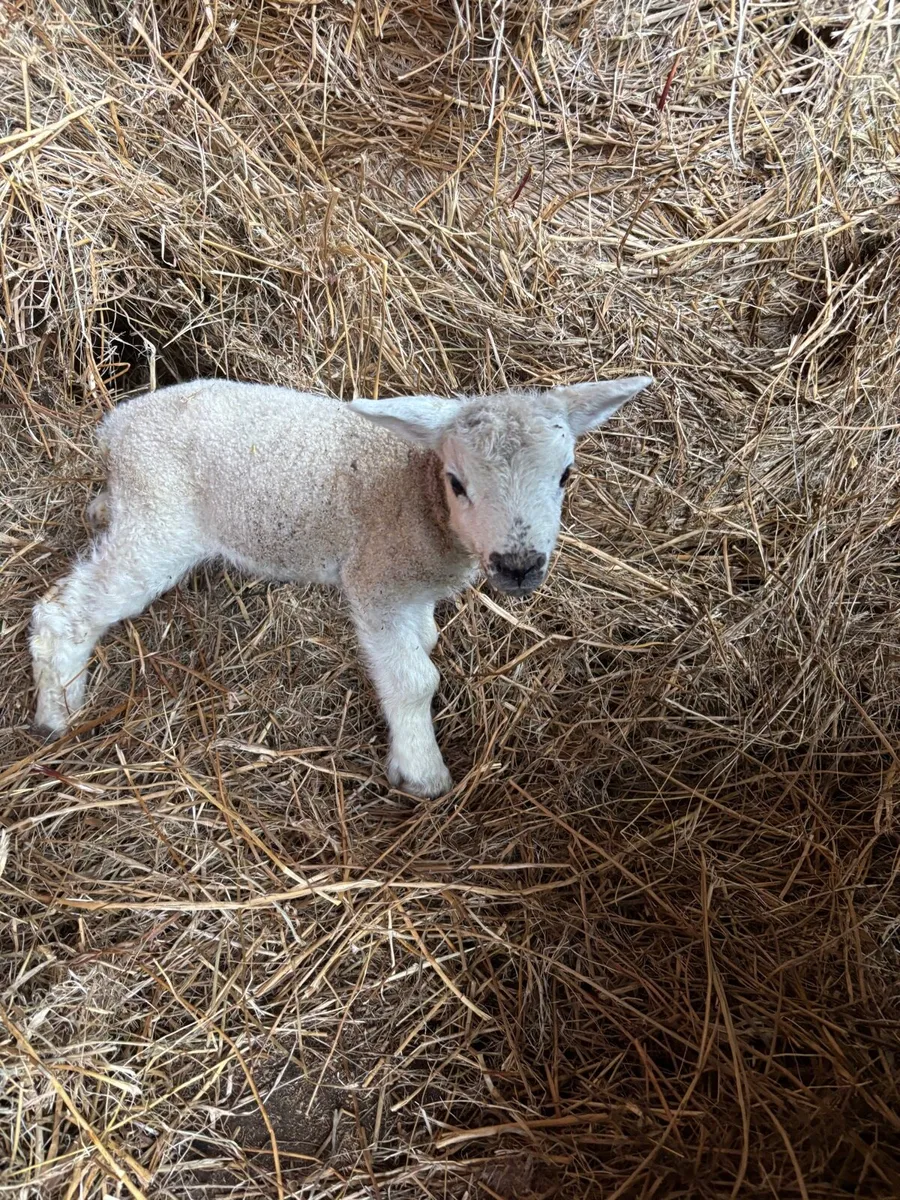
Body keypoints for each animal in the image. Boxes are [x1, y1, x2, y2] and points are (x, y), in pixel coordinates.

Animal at [30, 374, 651, 796]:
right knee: (67, 611)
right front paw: (421, 770)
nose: (519, 564)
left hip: (139, 507)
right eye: (457, 482)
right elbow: (414, 678)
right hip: (160, 524)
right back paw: (59, 710)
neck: (418, 494)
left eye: (566, 475)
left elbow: (424, 641)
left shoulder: (410, 588)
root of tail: (115, 428)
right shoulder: (377, 581)